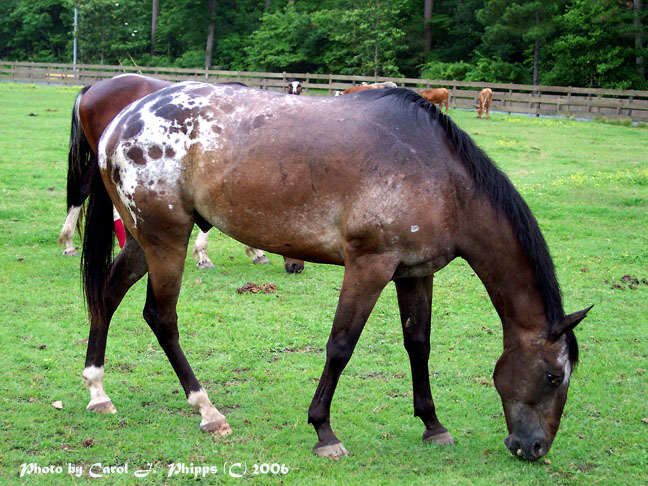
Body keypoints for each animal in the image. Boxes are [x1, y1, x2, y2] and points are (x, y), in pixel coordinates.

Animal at [79, 83, 588, 460]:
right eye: (552, 377)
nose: (534, 448)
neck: (440, 177)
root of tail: (119, 120)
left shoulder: (415, 273)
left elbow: (418, 345)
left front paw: (432, 423)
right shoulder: (369, 265)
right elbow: (341, 346)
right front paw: (323, 431)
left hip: (146, 242)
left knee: (106, 297)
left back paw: (98, 392)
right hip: (167, 241)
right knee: (161, 318)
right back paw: (208, 411)